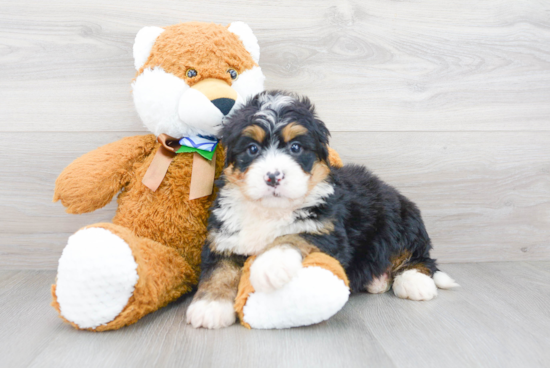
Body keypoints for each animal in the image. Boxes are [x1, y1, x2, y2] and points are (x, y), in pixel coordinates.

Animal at [188, 90, 460, 330]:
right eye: (252, 149)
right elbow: (219, 270)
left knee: (419, 257)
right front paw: (210, 306)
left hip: (402, 218)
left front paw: (270, 265)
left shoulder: (326, 229)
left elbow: (292, 236)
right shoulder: (224, 235)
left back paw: (414, 282)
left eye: (296, 148)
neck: (270, 211)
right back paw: (378, 281)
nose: (274, 176)